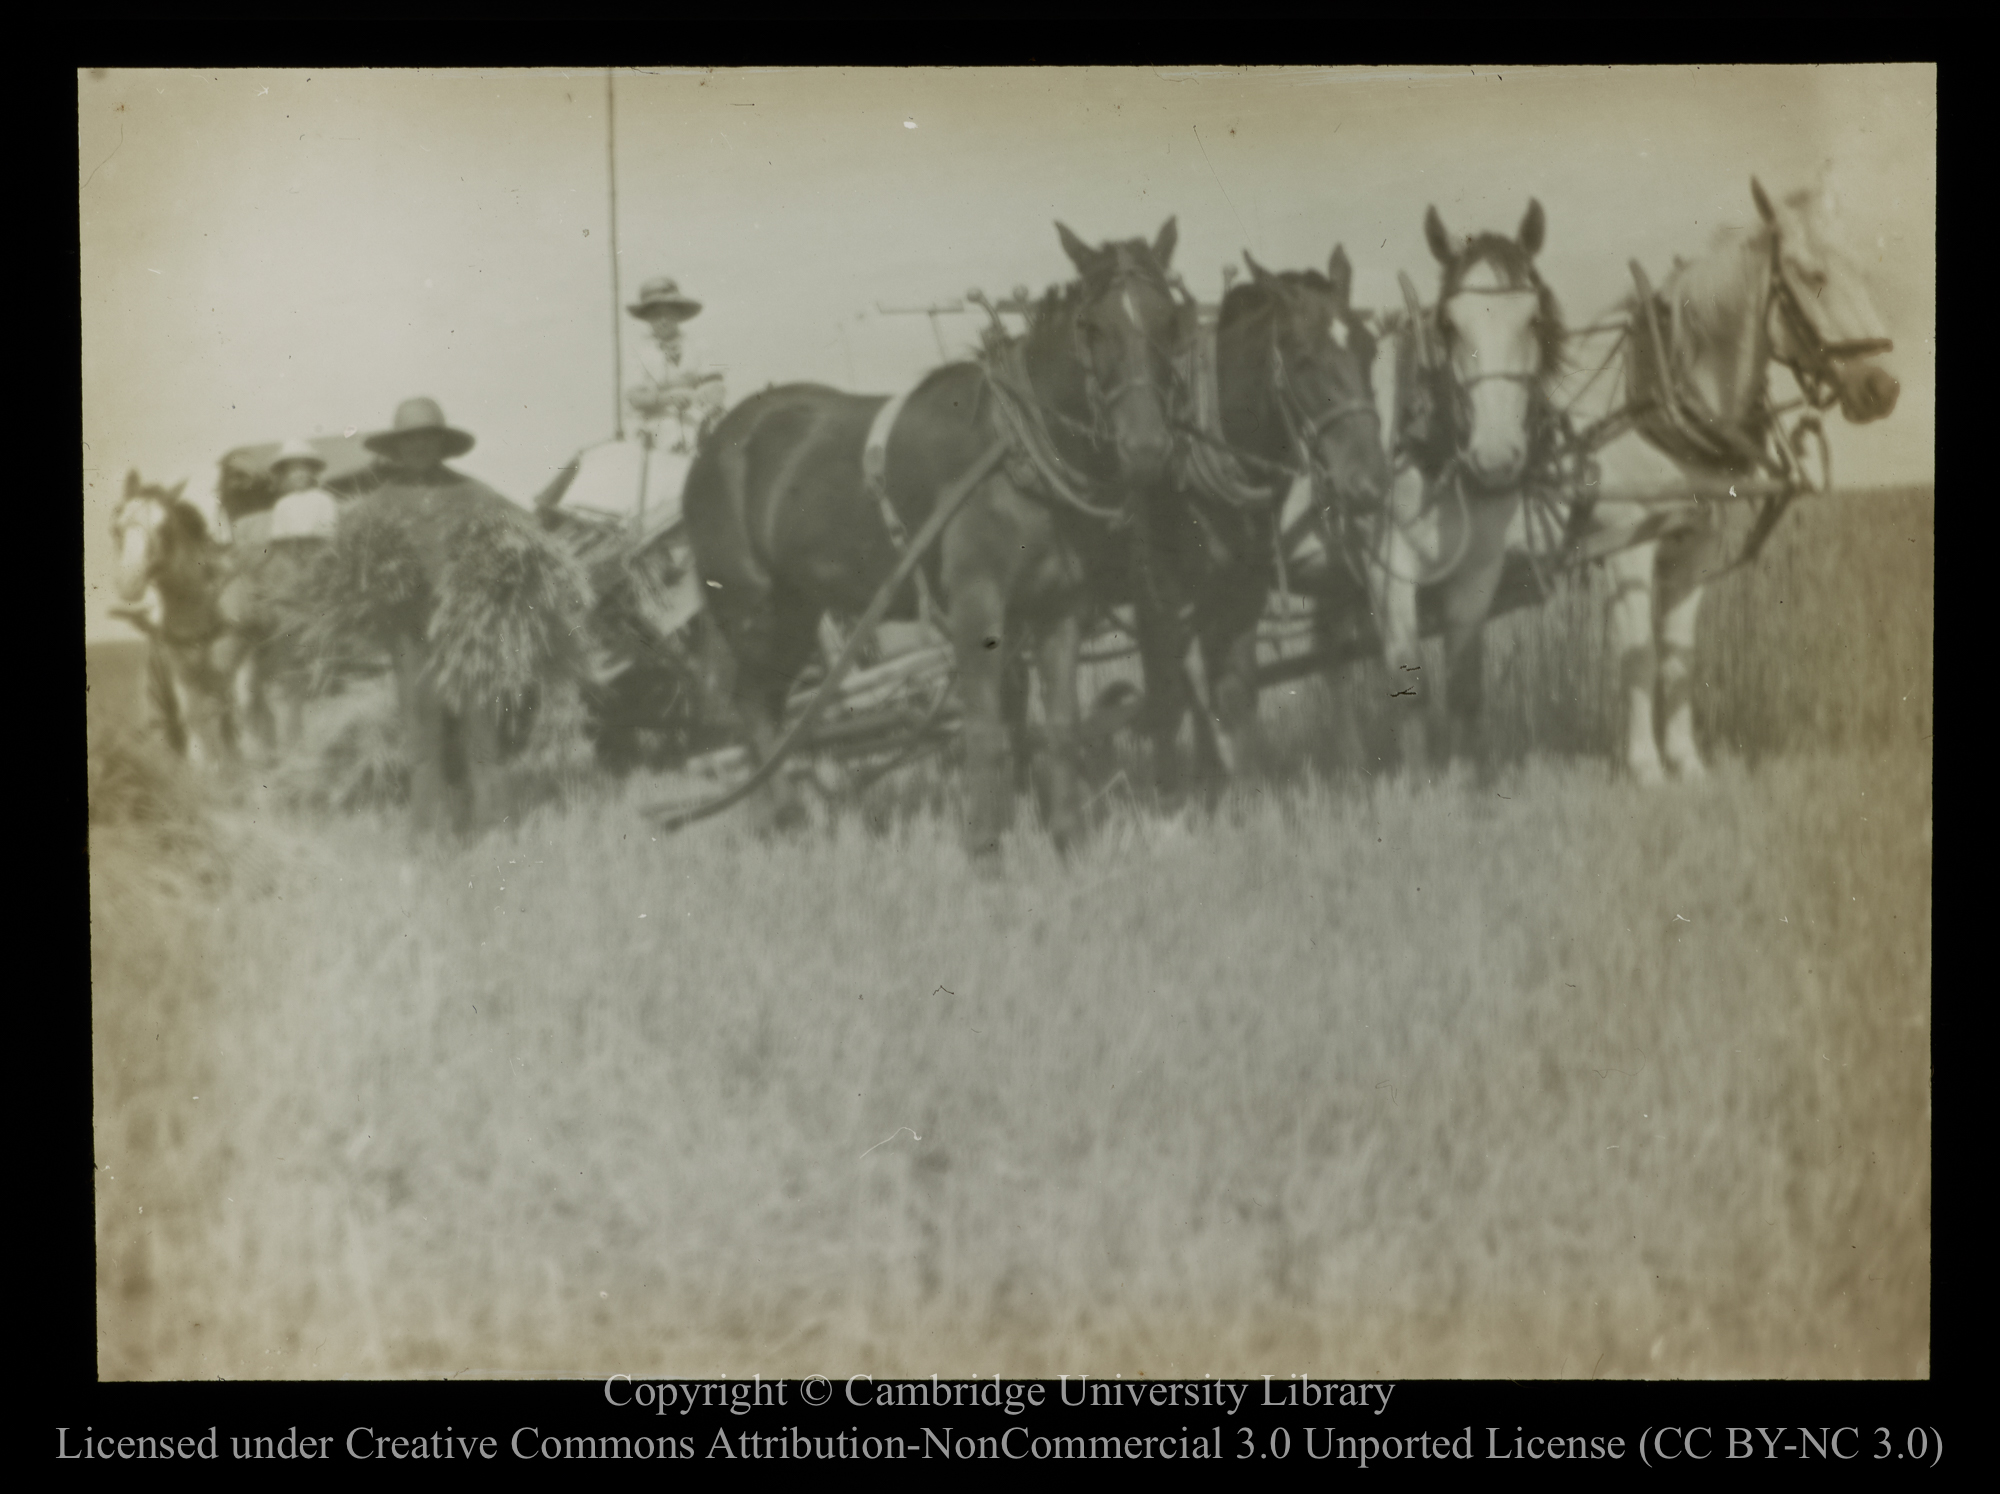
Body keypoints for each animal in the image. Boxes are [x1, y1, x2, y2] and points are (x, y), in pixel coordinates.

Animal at [684, 216, 1184, 860]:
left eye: (1169, 318)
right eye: (1091, 326)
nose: (1145, 447)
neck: (1016, 453)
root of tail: (715, 444)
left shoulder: (1059, 608)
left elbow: (1061, 726)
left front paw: (1069, 840)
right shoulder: (977, 608)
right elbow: (984, 731)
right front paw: (985, 850)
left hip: (797, 612)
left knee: (762, 703)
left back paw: (786, 822)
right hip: (754, 610)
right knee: (751, 705)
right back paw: (788, 818)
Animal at [1144, 243, 1392, 796]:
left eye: (1369, 348)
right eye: (1302, 360)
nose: (1369, 484)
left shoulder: (1243, 589)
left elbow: (1235, 691)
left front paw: (1238, 791)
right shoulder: (1167, 594)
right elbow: (1180, 694)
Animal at [1368, 200, 1568, 776]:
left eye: (1533, 318)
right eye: (1449, 326)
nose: (1496, 458)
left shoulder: (1479, 571)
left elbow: (1464, 686)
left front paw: (1462, 775)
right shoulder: (1389, 568)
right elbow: (1408, 686)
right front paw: (1415, 783)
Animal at [1576, 175, 1904, 784]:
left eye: (1861, 271)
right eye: (1813, 275)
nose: (1882, 389)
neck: (1660, 400)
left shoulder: (1696, 544)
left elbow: (1678, 655)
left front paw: (1685, 762)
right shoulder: (1626, 547)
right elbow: (1639, 655)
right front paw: (1645, 767)